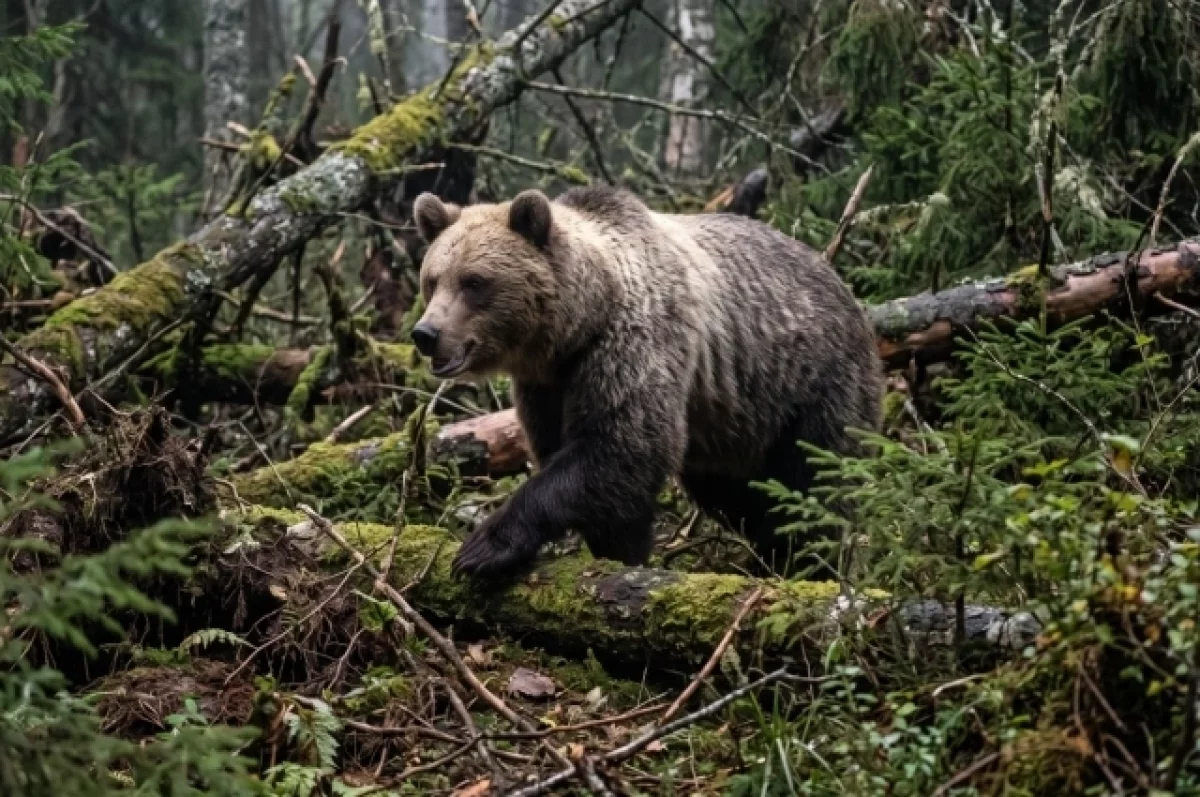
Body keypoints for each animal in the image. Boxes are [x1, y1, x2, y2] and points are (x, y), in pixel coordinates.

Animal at [409, 185, 883, 578]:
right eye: (432, 279)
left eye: (474, 281)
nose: (426, 333)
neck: (577, 327)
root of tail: (843, 284)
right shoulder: (547, 387)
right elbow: (594, 477)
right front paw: (621, 554)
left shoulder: (632, 344)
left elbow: (624, 446)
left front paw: (483, 548)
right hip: (734, 428)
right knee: (739, 494)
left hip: (813, 381)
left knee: (819, 480)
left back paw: (812, 564)